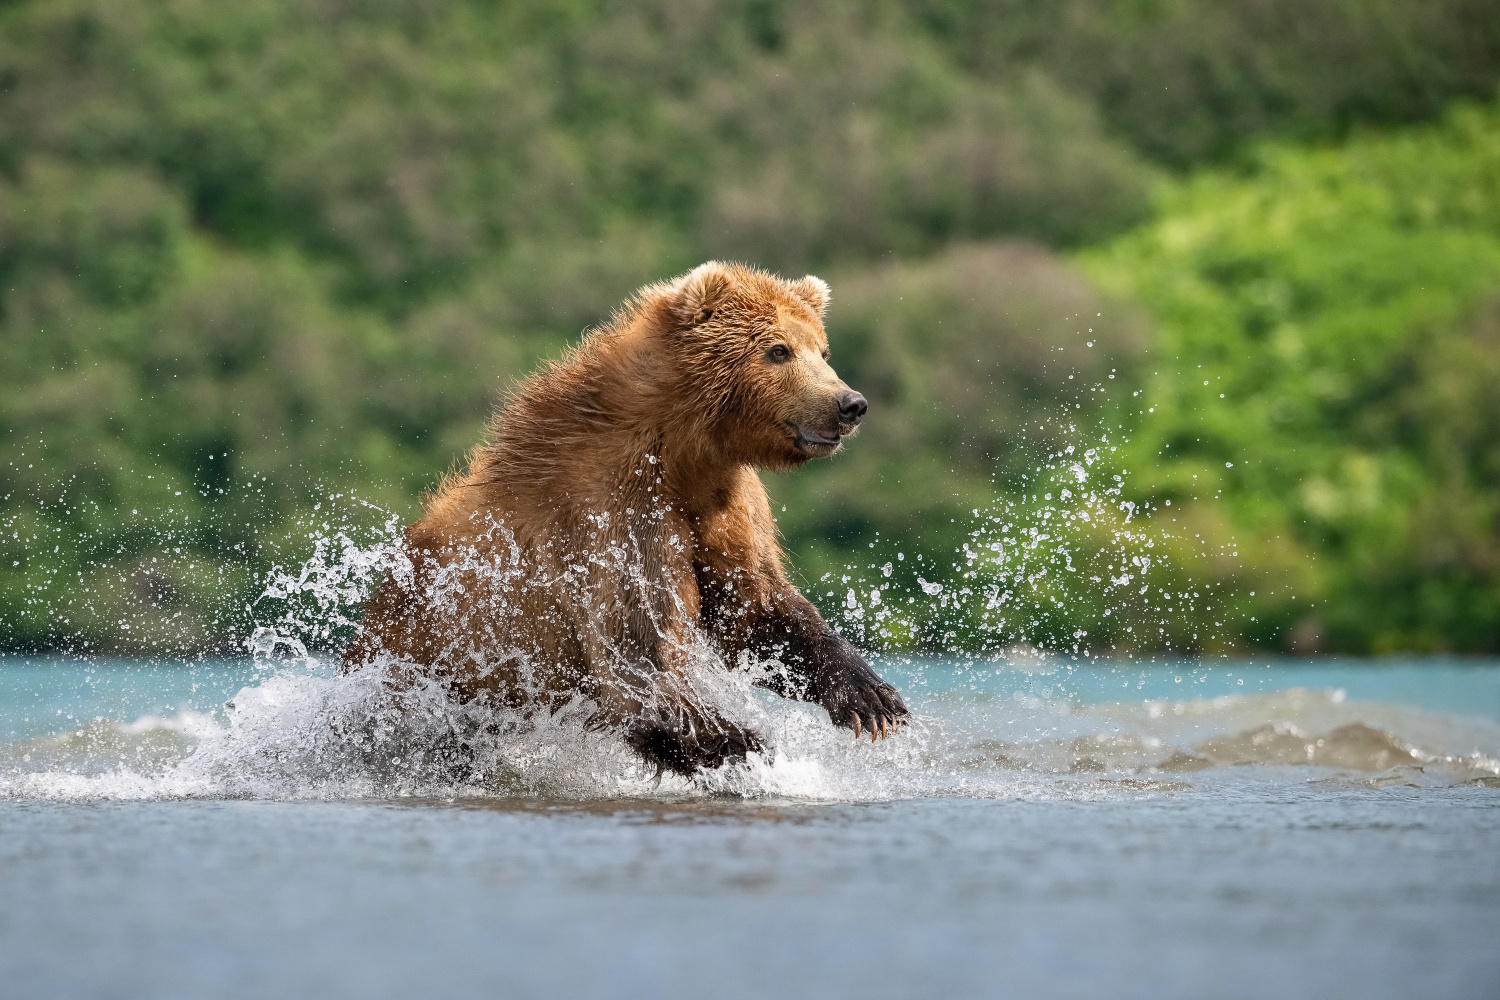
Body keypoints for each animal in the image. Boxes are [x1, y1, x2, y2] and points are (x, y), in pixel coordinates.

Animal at [345, 262, 906, 779]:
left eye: (822, 350)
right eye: (778, 350)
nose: (850, 403)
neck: (685, 451)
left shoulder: (724, 504)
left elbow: (755, 607)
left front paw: (872, 699)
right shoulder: (615, 513)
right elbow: (637, 648)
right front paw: (741, 740)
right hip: (424, 660)